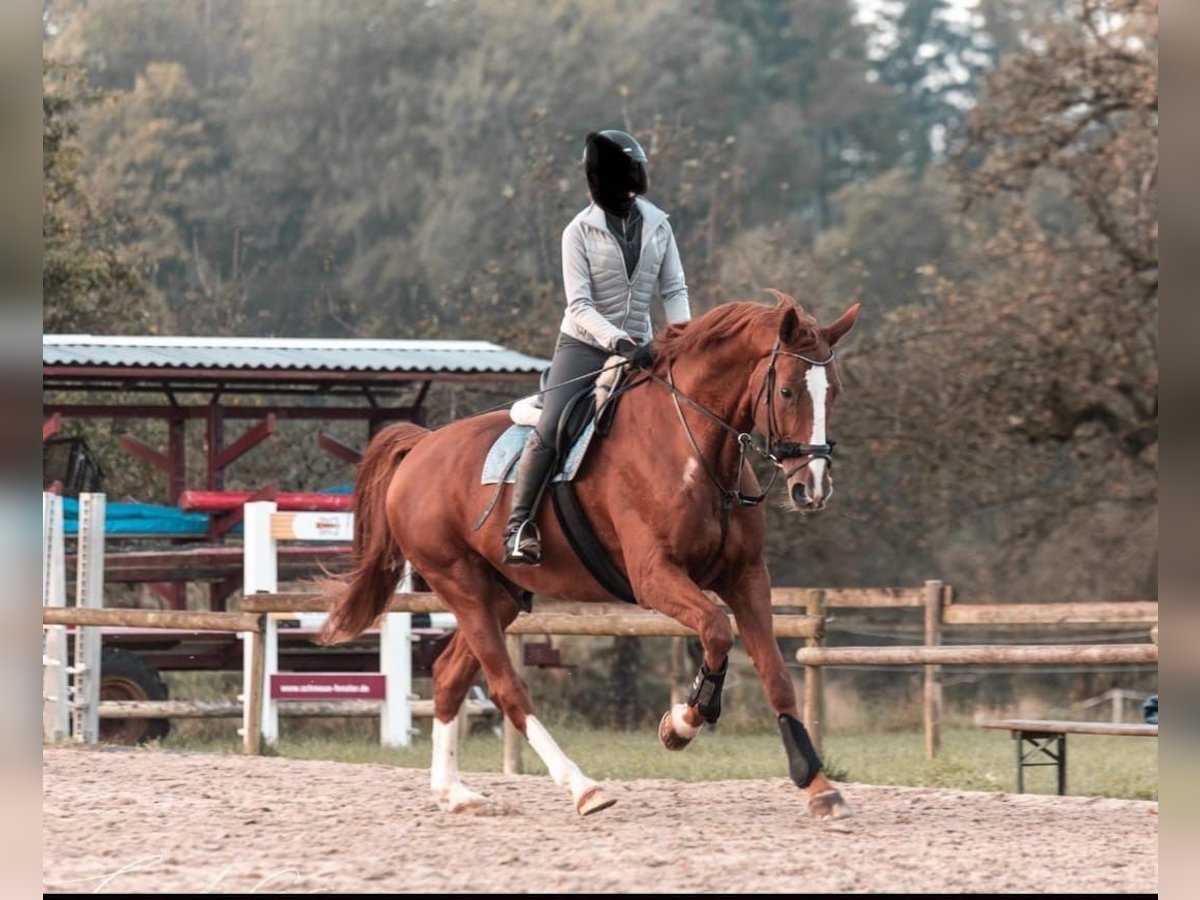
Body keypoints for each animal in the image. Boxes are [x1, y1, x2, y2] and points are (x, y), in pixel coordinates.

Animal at [319, 294, 859, 825]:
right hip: (461, 585)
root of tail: (420, 448)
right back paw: (583, 788)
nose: (812, 488)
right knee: (507, 688)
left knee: (451, 677)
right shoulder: (653, 576)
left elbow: (776, 676)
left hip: (499, 596)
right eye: (787, 391)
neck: (694, 447)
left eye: (833, 392)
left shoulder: (746, 577)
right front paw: (681, 724)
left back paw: (454, 794)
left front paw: (817, 785)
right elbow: (715, 630)